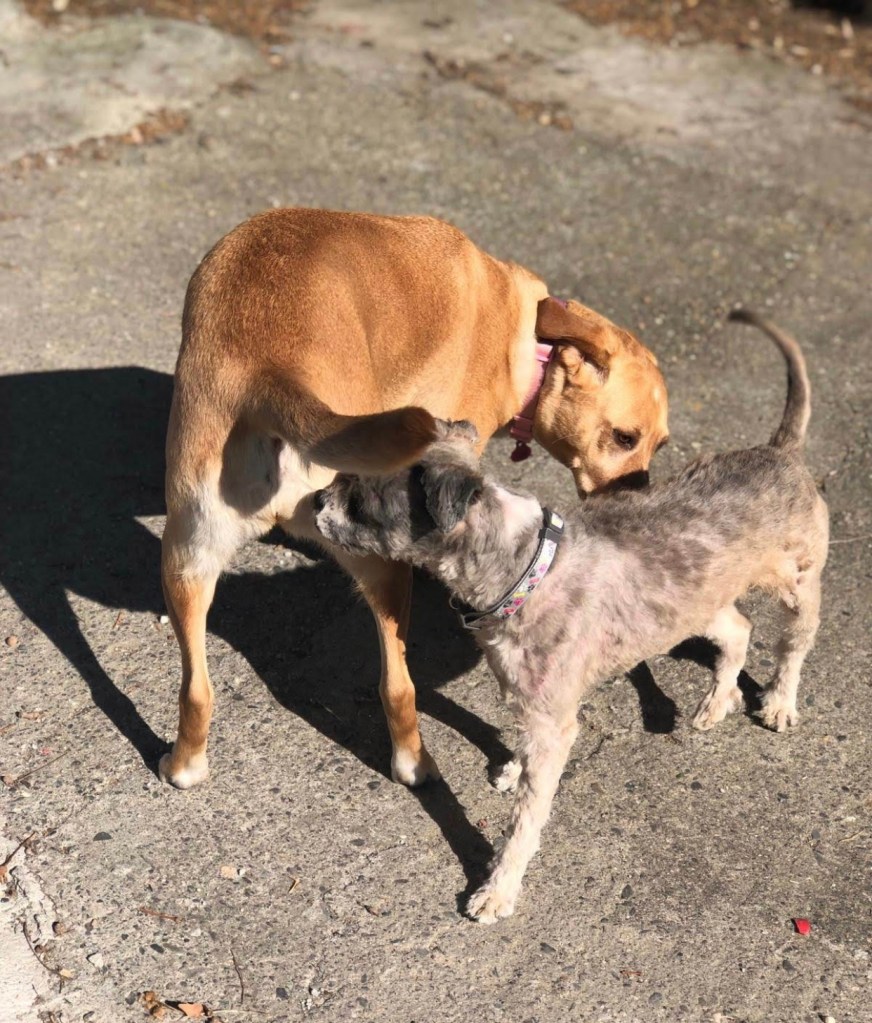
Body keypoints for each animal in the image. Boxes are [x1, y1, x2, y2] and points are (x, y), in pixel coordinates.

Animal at [159, 208, 668, 791]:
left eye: (660, 445)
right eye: (625, 437)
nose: (639, 496)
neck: (522, 334)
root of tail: (269, 369)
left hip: (185, 558)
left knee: (197, 690)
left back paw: (183, 764)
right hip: (380, 563)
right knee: (398, 686)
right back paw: (414, 763)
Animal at [313, 310, 828, 922]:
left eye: (362, 500)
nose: (315, 502)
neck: (524, 568)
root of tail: (782, 452)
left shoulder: (554, 720)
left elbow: (525, 821)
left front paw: (498, 889)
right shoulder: (530, 702)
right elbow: (522, 756)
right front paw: (514, 769)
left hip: (798, 582)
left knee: (793, 643)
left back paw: (779, 703)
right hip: (694, 603)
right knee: (739, 628)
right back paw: (715, 701)